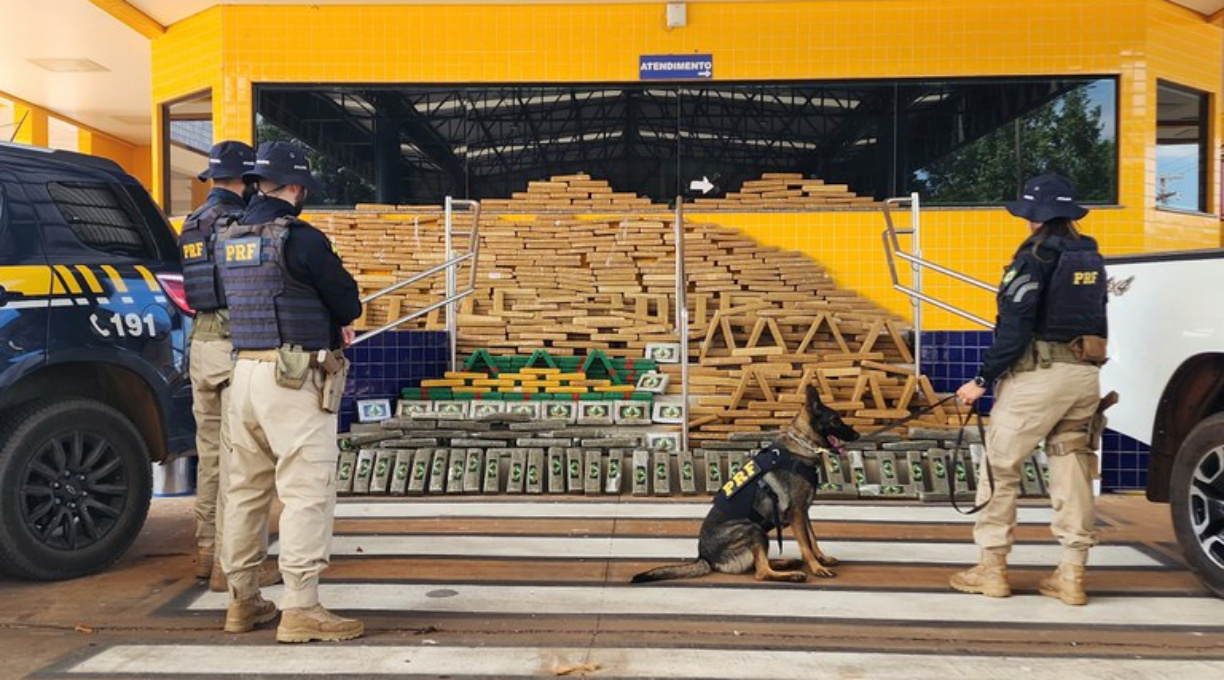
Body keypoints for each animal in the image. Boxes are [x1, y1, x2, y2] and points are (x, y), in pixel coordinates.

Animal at [631, 384, 861, 582]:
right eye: (835, 420)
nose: (858, 435)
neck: (803, 445)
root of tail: (704, 557)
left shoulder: (804, 511)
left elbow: (812, 539)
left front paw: (822, 559)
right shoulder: (797, 512)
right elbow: (805, 544)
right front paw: (816, 567)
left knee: (759, 564)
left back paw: (786, 563)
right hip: (753, 528)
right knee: (761, 572)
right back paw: (792, 574)